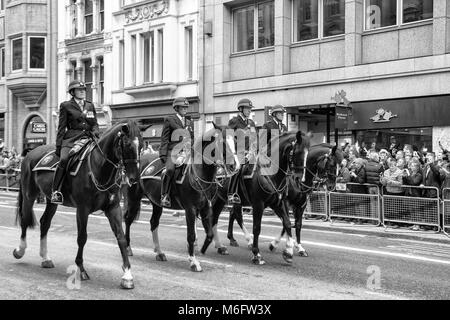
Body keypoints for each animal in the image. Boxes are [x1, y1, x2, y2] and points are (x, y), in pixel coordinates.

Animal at [13, 120, 142, 290]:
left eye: (142, 145)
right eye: (127, 144)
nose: (134, 179)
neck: (99, 167)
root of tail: (30, 153)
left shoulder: (113, 208)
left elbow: (121, 238)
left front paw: (127, 275)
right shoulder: (82, 209)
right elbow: (82, 237)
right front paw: (81, 269)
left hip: (52, 201)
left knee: (45, 223)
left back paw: (45, 258)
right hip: (29, 195)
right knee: (25, 220)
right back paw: (20, 250)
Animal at [123, 125, 236, 272]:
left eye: (234, 141)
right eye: (222, 142)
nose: (234, 165)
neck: (198, 173)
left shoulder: (205, 207)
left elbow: (210, 234)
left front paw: (202, 250)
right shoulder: (190, 209)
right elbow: (191, 235)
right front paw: (193, 261)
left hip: (156, 203)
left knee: (153, 223)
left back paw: (159, 252)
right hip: (134, 199)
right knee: (128, 219)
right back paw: (128, 248)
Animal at [210, 130, 312, 264]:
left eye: (308, 153)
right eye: (298, 152)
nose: (300, 179)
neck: (270, 173)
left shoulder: (279, 203)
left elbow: (288, 223)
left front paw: (288, 252)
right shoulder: (258, 204)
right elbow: (257, 228)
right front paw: (257, 254)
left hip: (222, 199)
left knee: (223, 216)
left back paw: (221, 245)